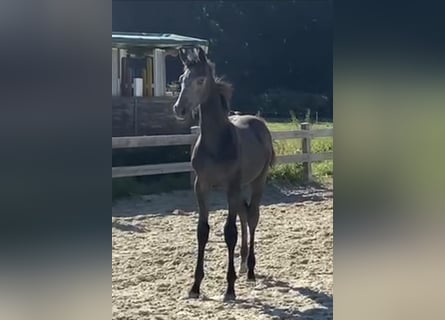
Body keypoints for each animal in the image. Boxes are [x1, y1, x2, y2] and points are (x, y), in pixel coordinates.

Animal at [171, 47, 272, 300]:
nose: (179, 109)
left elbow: (229, 232)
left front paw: (230, 288)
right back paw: (243, 263)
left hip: (257, 180)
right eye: (181, 78)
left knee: (252, 217)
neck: (216, 142)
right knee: (244, 214)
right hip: (240, 187)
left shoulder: (232, 186)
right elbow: (202, 231)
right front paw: (195, 286)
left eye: (200, 80)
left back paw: (250, 269)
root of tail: (259, 123)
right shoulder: (202, 185)